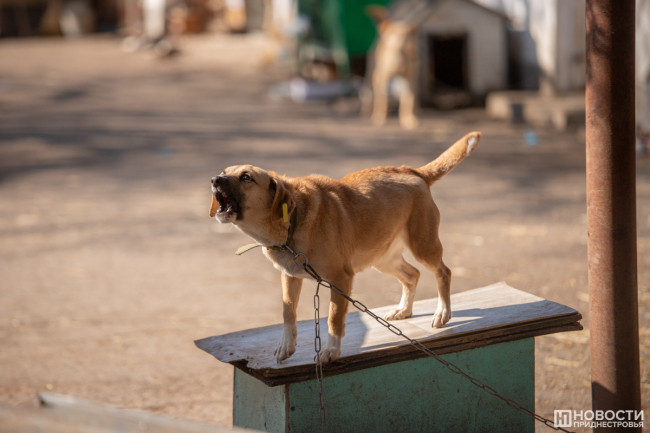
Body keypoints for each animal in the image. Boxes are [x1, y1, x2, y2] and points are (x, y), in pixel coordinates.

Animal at [210, 132, 481, 363]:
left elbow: (333, 318)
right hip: (383, 259)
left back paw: (442, 313)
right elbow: (288, 312)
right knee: (412, 275)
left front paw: (330, 350)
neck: (293, 221)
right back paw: (403, 310)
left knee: (443, 272)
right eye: (224, 172)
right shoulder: (289, 277)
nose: (214, 180)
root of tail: (411, 170)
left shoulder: (341, 279)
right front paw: (286, 345)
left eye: (246, 177)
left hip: (423, 246)